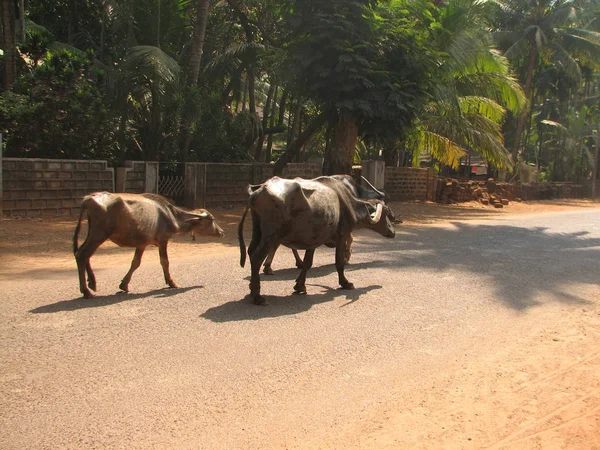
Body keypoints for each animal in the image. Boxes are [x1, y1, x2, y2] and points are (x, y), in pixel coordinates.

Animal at [74, 191, 224, 298]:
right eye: (212, 219)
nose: (221, 232)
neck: (169, 215)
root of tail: (89, 198)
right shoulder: (163, 241)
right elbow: (165, 262)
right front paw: (172, 282)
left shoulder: (141, 245)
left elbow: (135, 263)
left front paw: (124, 285)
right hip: (99, 234)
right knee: (82, 255)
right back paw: (86, 291)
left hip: (93, 233)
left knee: (83, 254)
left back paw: (92, 283)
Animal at [237, 176, 396, 306]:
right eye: (386, 213)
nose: (393, 232)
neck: (345, 203)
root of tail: (258, 191)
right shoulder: (341, 236)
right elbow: (339, 262)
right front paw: (345, 283)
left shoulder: (313, 240)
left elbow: (308, 263)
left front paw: (300, 286)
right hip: (272, 235)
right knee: (257, 257)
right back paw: (258, 296)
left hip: (258, 231)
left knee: (250, 252)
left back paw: (252, 288)